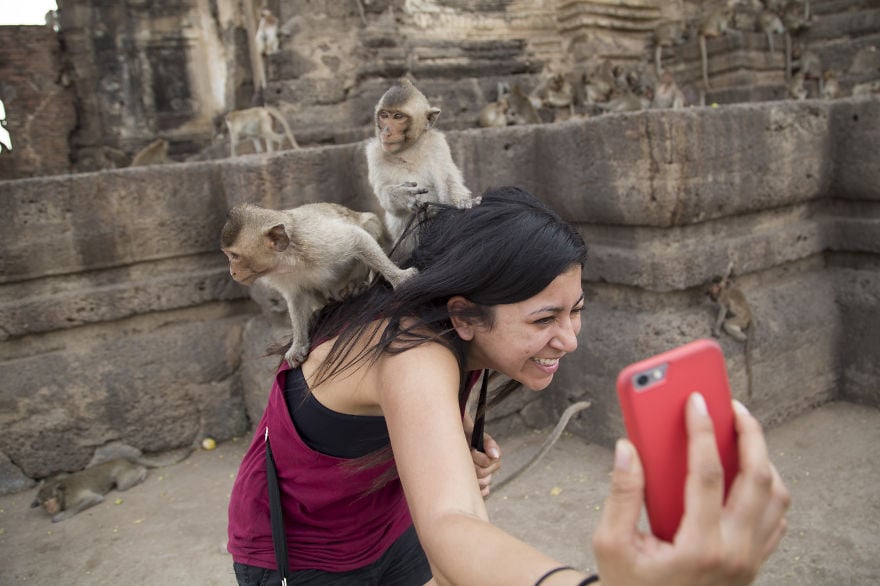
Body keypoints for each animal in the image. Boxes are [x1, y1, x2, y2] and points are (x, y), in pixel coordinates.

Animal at [218, 201, 414, 364]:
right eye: (229, 256)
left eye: (235, 256)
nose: (232, 272)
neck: (287, 259)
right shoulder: (282, 275)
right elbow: (296, 297)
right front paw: (298, 344)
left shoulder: (315, 243)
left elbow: (358, 237)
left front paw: (399, 277)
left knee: (369, 224)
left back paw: (358, 285)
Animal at [362, 78, 478, 243]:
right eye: (384, 115)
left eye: (398, 117)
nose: (386, 131)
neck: (409, 151)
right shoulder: (374, 154)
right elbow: (384, 193)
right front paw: (402, 195)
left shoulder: (437, 144)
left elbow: (448, 179)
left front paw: (463, 201)